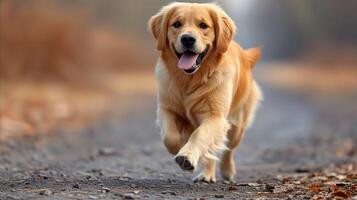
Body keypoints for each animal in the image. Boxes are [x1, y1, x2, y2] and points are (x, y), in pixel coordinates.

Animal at [147, 1, 262, 183]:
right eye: (177, 24)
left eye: (203, 25)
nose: (187, 38)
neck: (190, 79)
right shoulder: (166, 108)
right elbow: (170, 137)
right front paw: (180, 147)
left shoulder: (215, 117)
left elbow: (199, 135)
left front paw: (186, 155)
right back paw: (207, 174)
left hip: (237, 125)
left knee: (228, 148)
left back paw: (226, 171)